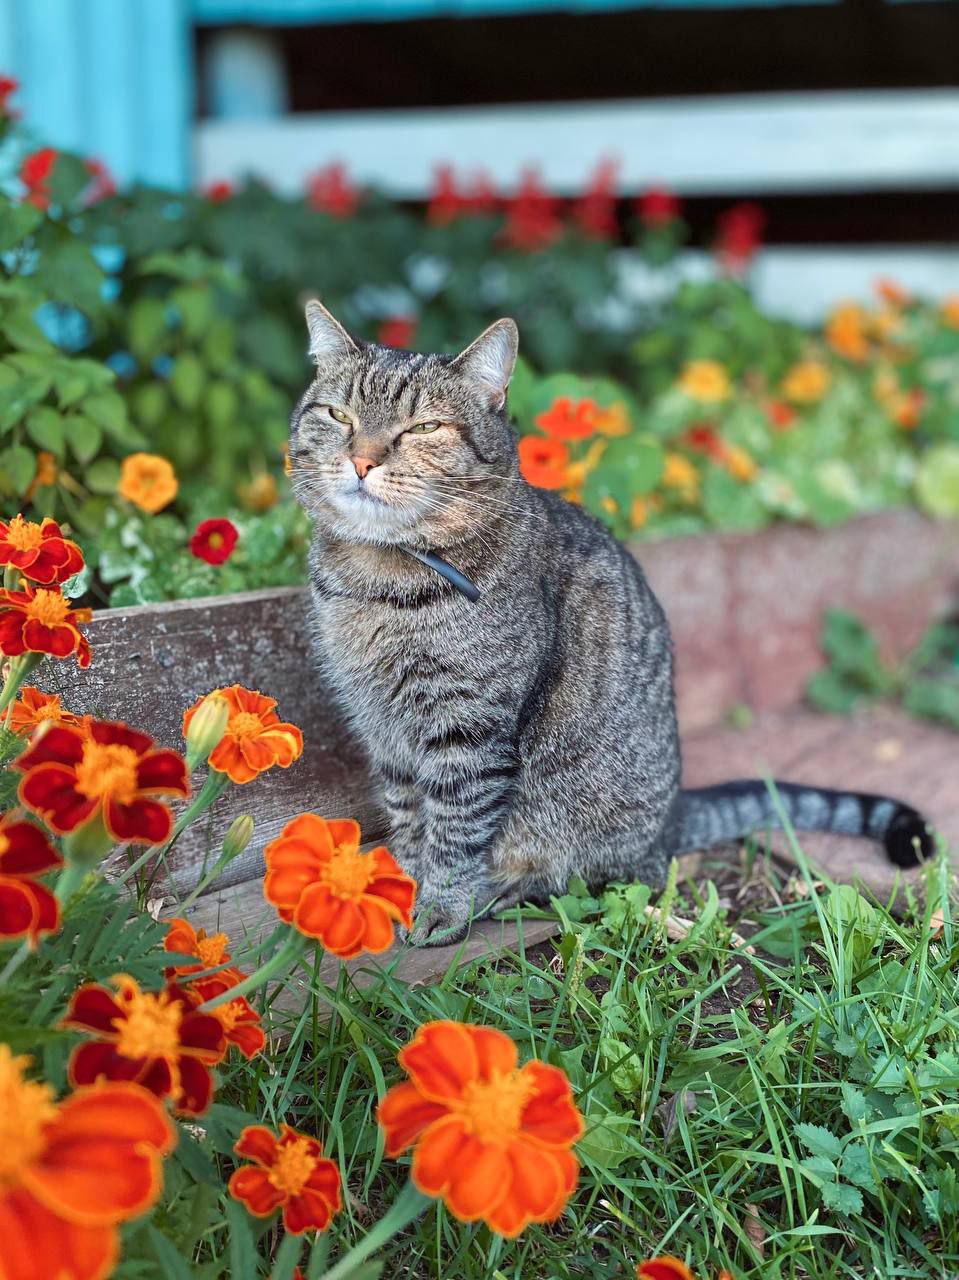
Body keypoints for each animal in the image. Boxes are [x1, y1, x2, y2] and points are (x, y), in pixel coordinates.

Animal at [289, 296, 926, 942]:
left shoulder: (468, 731)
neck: (377, 579)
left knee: (584, 870)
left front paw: (439, 908)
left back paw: (504, 889)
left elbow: (454, 830)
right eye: (339, 415)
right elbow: (409, 819)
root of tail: (673, 814)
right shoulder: (385, 732)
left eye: (424, 429)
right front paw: (396, 888)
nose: (361, 460)